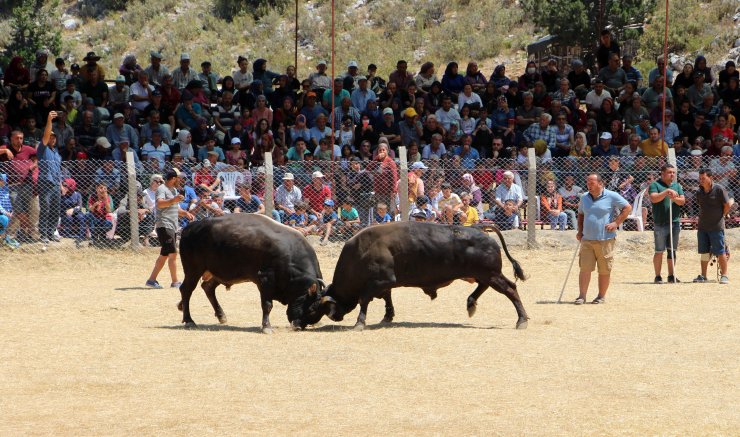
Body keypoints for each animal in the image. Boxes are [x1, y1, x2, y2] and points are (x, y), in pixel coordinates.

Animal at [176, 213, 324, 332]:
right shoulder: (265, 280)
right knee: (186, 290)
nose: (298, 326)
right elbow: (267, 305)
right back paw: (189, 320)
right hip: (193, 270)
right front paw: (266, 326)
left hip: (216, 272)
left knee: (207, 287)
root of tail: (190, 228)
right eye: (311, 309)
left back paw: (220, 315)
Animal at [292, 223, 528, 328]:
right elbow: (386, 298)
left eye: (311, 308)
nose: (297, 323)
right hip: (485, 275)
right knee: (483, 288)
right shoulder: (385, 284)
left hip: (491, 274)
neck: (361, 252)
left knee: (510, 289)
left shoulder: (379, 282)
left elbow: (364, 300)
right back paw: (470, 304)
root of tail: (482, 230)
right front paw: (387, 317)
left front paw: (360, 322)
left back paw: (521, 320)